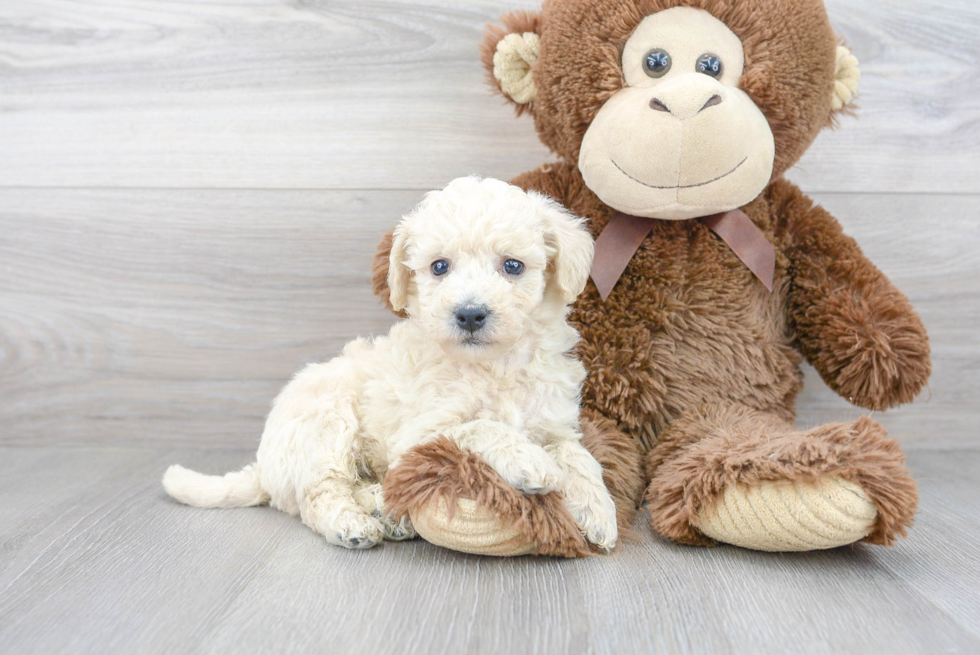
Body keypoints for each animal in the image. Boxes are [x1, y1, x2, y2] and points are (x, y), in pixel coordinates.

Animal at [164, 177, 616, 552]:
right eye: (439, 267)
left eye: (513, 266)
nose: (470, 314)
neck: (494, 364)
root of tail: (264, 465)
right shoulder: (421, 433)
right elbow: (480, 426)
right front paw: (529, 461)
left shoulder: (555, 423)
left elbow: (579, 457)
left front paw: (599, 513)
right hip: (326, 421)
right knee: (319, 493)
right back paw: (353, 524)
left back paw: (383, 505)